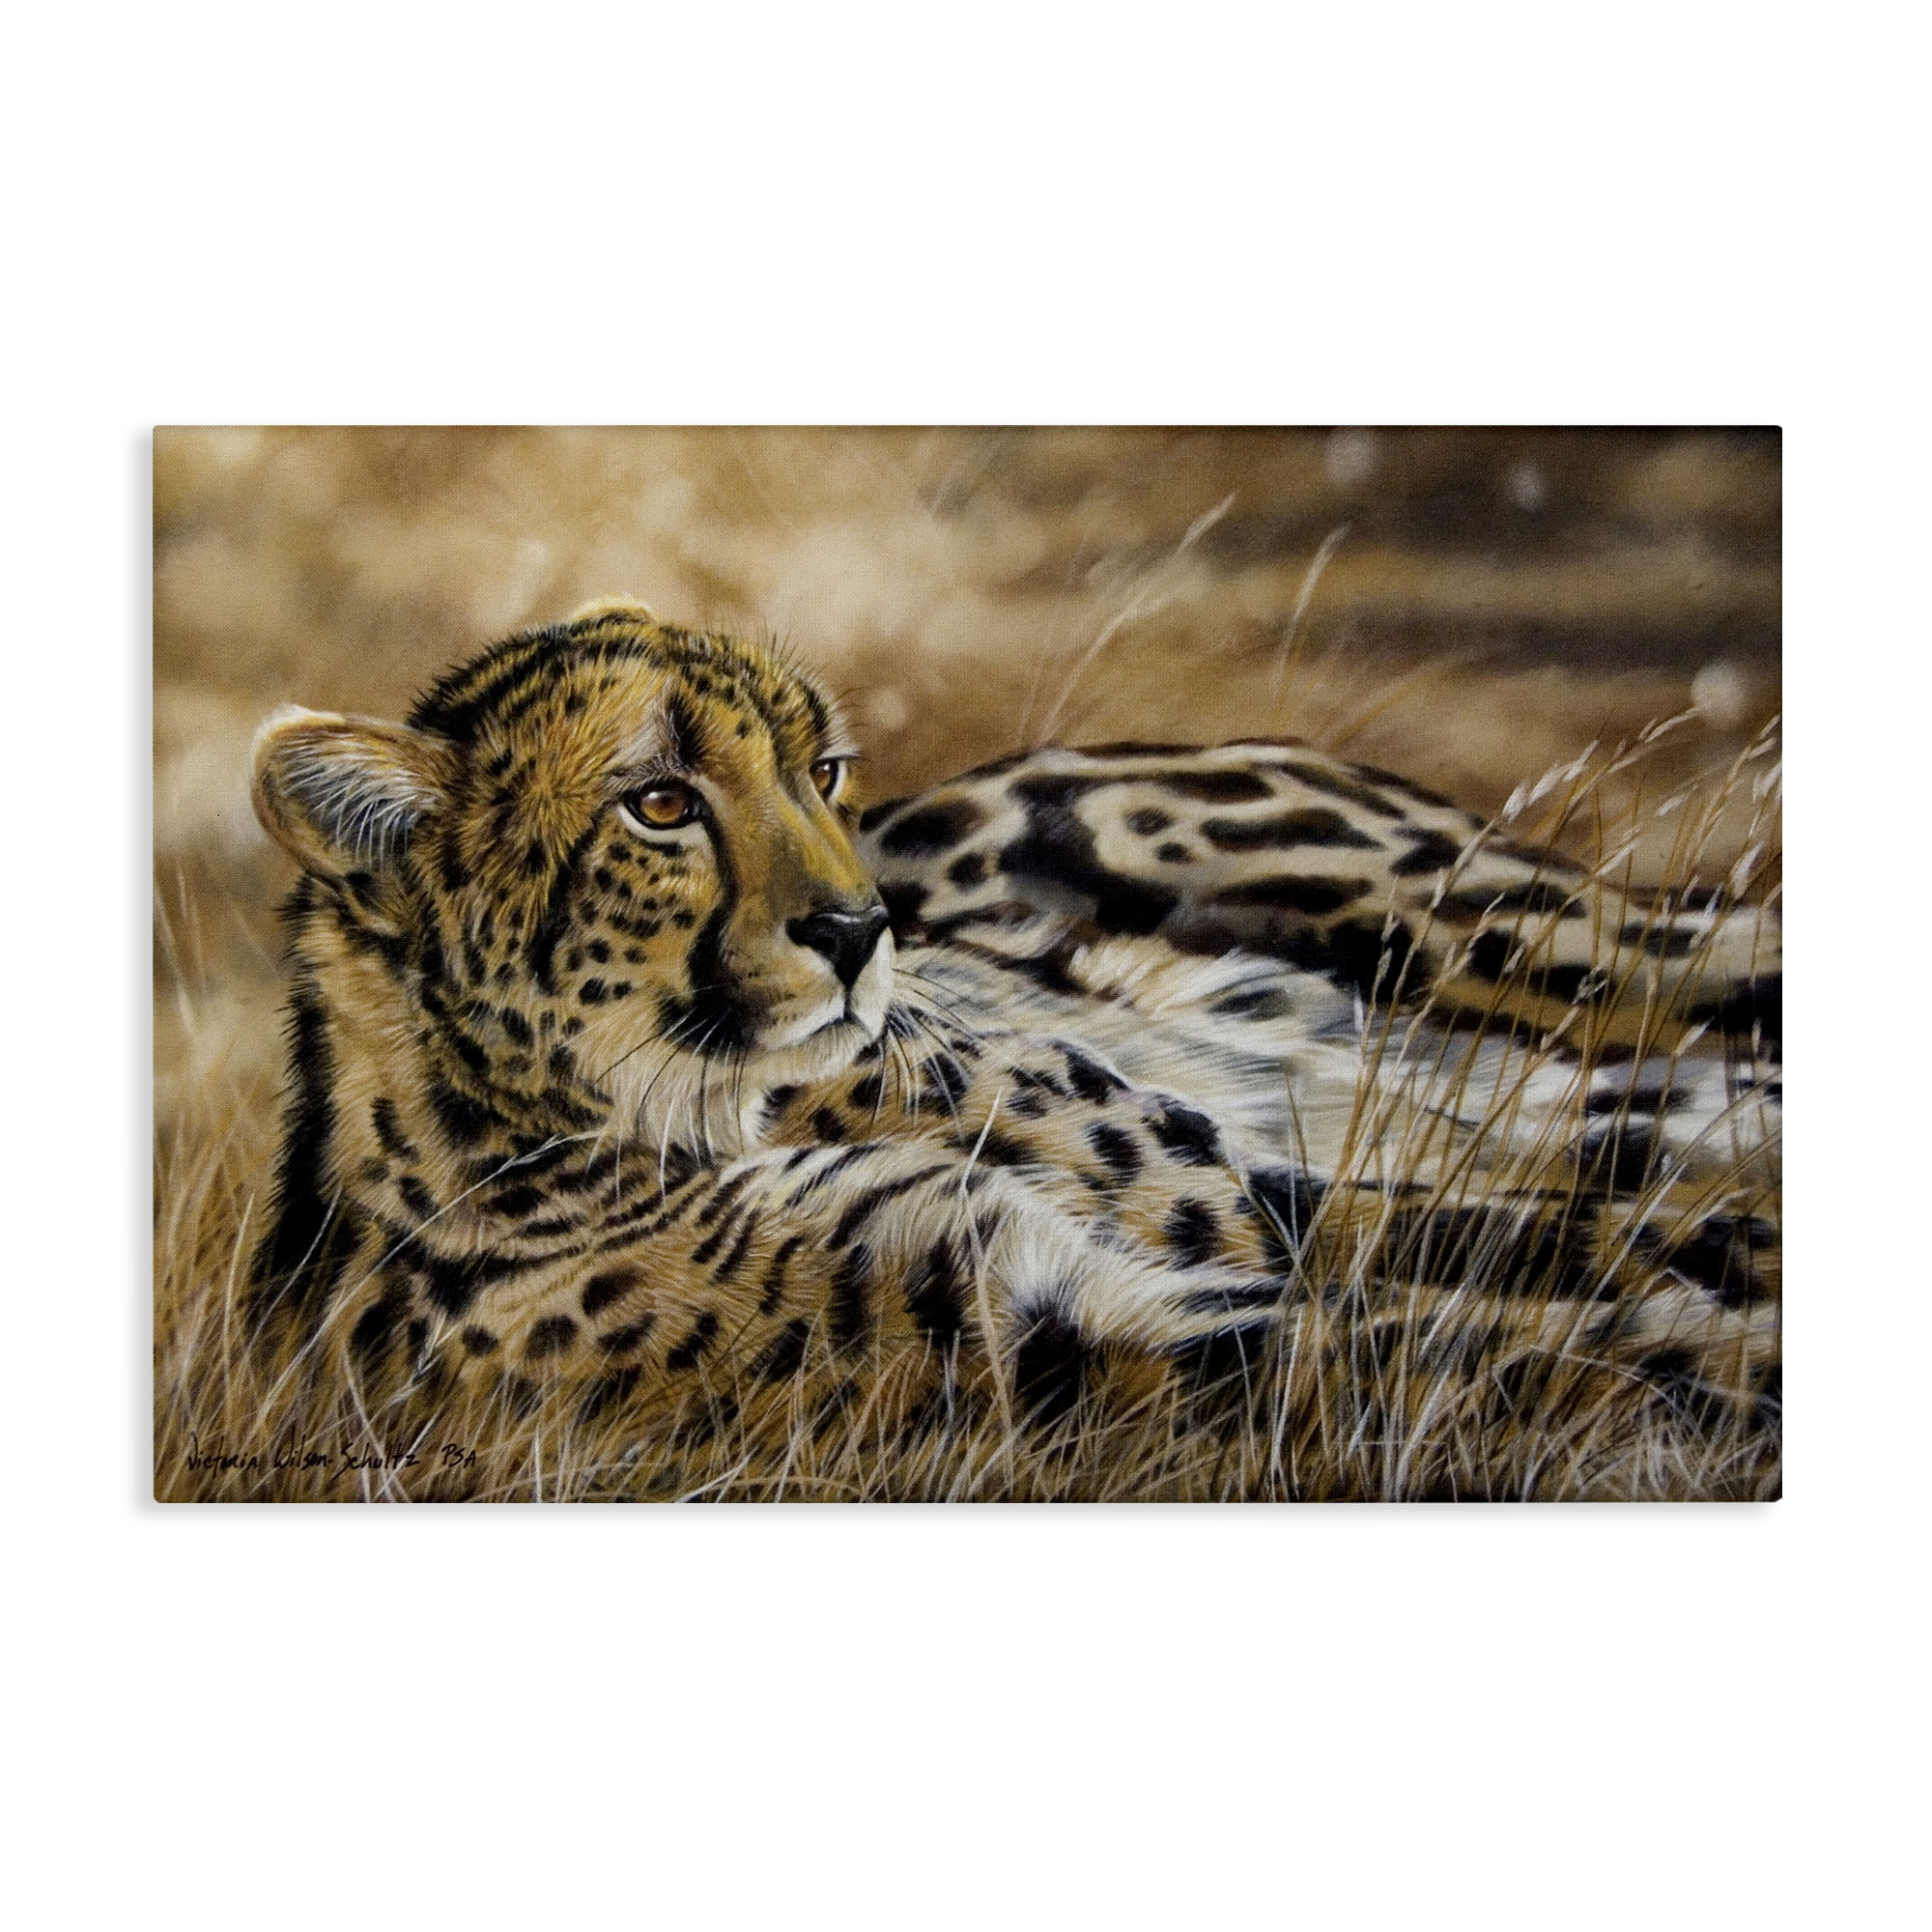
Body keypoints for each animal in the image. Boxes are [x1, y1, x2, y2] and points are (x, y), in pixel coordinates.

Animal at [244, 597, 1780, 1494]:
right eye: (661, 803)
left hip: (1512, 933)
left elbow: (1557, 1250)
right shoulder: (1064, 1330)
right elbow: (1494, 1337)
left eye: (821, 770)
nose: (863, 926)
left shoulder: (1221, 1202)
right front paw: (1725, 1359)